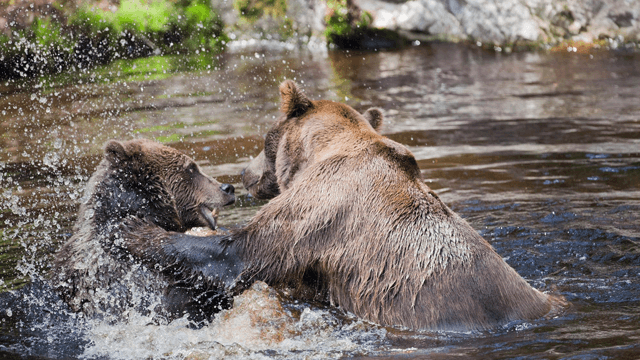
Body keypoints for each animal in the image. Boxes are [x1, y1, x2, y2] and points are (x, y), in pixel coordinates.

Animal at [117, 82, 564, 332]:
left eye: (263, 140)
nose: (244, 174)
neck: (325, 150)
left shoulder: (319, 212)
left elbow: (240, 251)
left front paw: (134, 230)